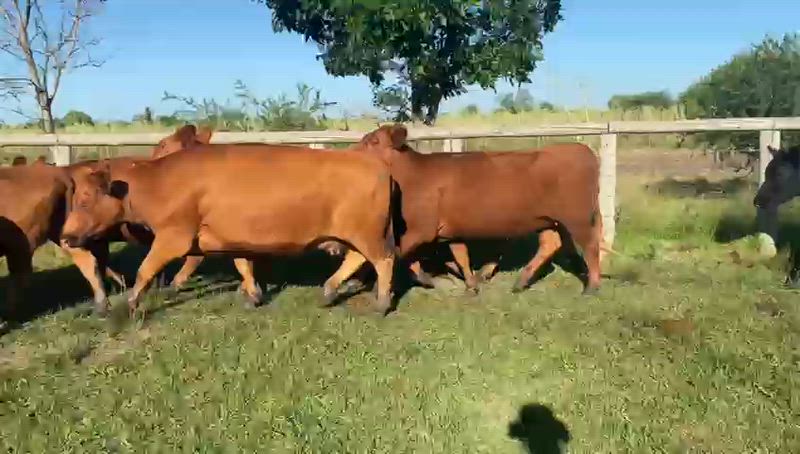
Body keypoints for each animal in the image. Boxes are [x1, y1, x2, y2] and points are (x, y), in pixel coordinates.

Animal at [60, 137, 397, 316]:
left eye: (86, 199)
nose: (66, 236)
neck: (156, 183)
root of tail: (378, 166)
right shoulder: (232, 237)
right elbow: (243, 265)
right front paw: (253, 295)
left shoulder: (173, 238)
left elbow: (145, 270)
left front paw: (131, 303)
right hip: (355, 234)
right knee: (356, 258)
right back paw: (328, 290)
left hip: (367, 233)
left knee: (383, 260)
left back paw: (381, 302)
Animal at [345, 124, 604, 295]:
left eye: (374, 141)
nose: (349, 155)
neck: (412, 176)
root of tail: (582, 149)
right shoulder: (449, 231)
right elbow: (460, 256)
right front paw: (470, 283)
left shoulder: (420, 230)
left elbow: (389, 255)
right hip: (547, 219)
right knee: (550, 244)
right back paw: (520, 282)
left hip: (578, 217)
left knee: (591, 246)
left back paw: (592, 287)